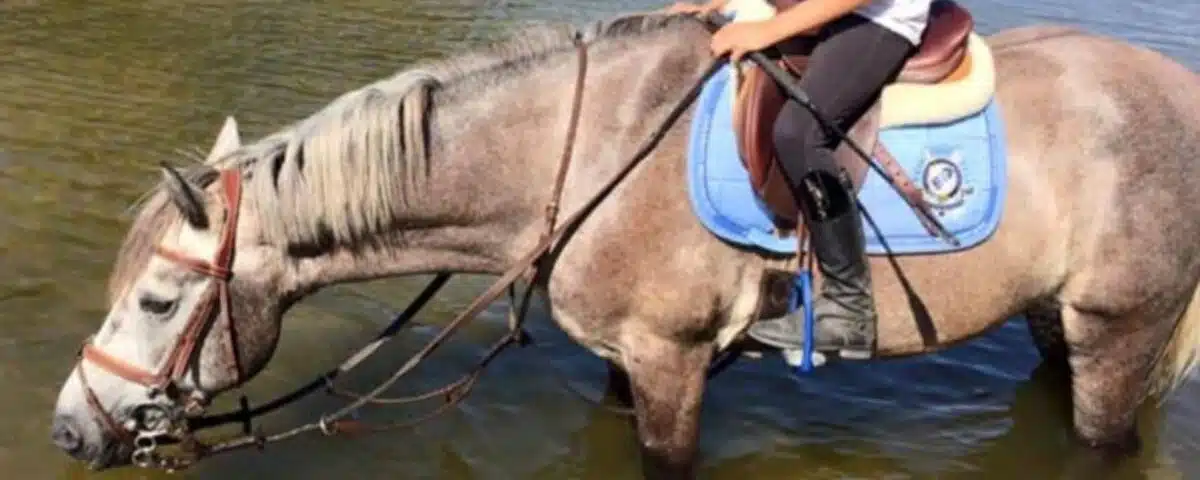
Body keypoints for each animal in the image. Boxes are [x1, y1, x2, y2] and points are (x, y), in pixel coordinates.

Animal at [47, 4, 1200, 478]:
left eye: (158, 302)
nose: (67, 428)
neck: (579, 153)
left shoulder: (671, 363)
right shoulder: (624, 366)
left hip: (1119, 330)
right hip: (1060, 324)